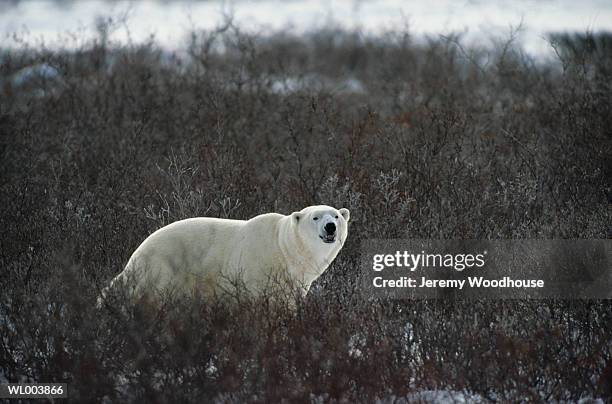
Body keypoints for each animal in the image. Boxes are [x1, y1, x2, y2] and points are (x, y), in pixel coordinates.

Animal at [100, 205, 350, 306]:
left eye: (337, 216)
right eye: (315, 217)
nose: (330, 227)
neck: (284, 247)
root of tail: (135, 256)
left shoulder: (294, 283)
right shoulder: (258, 270)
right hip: (162, 268)